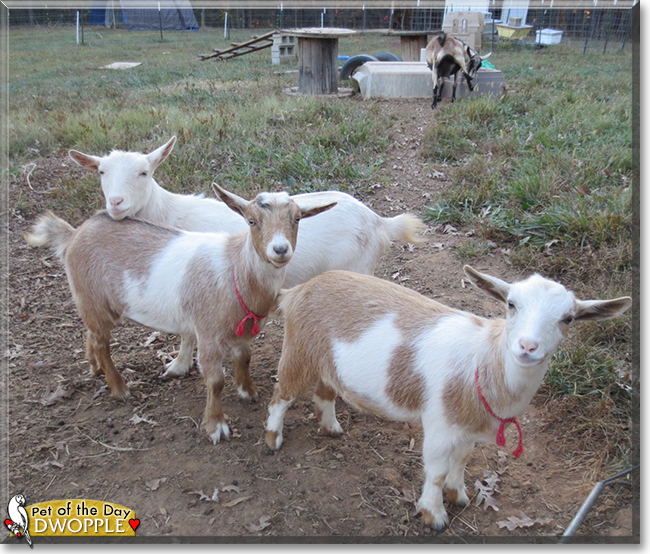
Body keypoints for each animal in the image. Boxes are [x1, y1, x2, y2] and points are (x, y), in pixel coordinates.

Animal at [26, 184, 336, 440]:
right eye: (251, 221)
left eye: (297, 219)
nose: (280, 250)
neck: (235, 268)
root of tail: (75, 233)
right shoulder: (207, 332)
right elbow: (215, 381)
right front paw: (215, 426)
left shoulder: (242, 329)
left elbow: (245, 358)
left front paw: (247, 392)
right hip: (92, 299)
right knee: (102, 343)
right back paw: (119, 388)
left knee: (91, 335)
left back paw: (96, 368)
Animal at [68, 137, 422, 380]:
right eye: (101, 172)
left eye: (144, 172)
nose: (116, 203)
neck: (170, 214)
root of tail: (379, 221)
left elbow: (187, 331)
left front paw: (179, 365)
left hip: (356, 268)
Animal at [262, 268, 628, 532]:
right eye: (511, 304)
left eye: (568, 318)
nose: (527, 347)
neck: (484, 360)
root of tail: (298, 291)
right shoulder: (439, 423)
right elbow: (436, 470)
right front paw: (434, 515)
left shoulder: (468, 426)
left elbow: (462, 460)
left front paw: (459, 495)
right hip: (298, 351)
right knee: (281, 395)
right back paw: (272, 438)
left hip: (328, 363)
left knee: (324, 392)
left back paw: (331, 427)